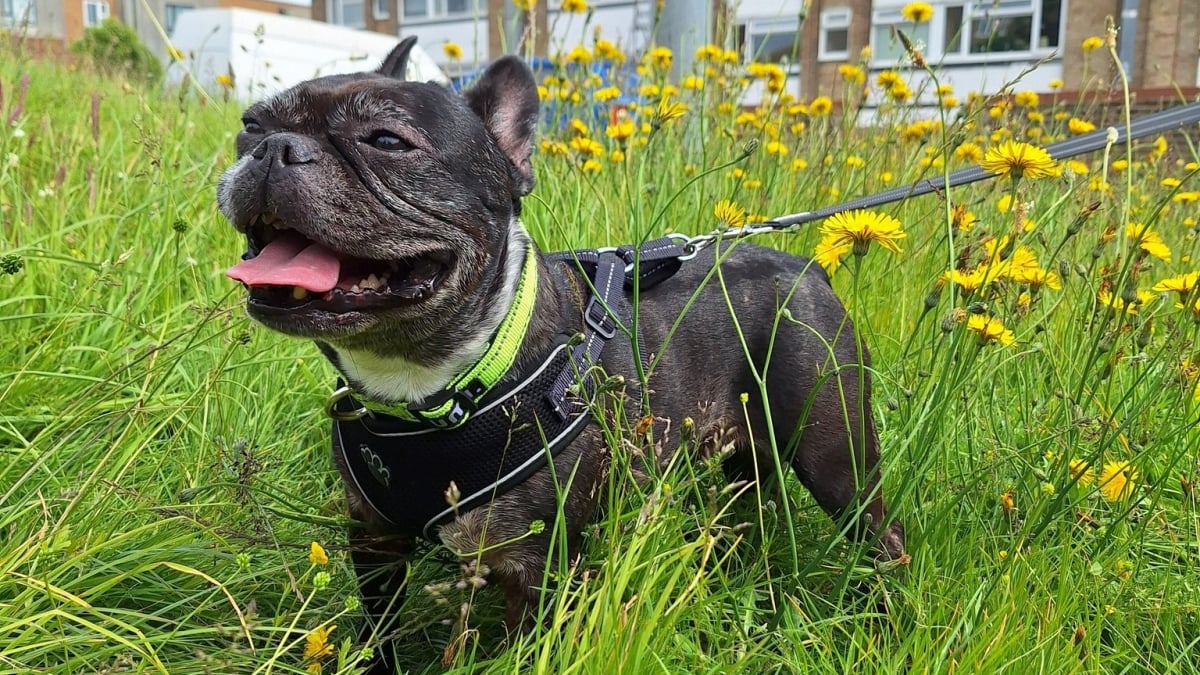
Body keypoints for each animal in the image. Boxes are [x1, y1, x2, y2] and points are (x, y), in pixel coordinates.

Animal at [218, 39, 902, 667]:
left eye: (386, 141)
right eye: (250, 125)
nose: (271, 149)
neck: (434, 385)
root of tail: (810, 268)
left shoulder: (535, 568)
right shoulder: (375, 541)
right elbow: (380, 629)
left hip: (839, 462)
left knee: (881, 536)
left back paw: (884, 623)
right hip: (743, 467)